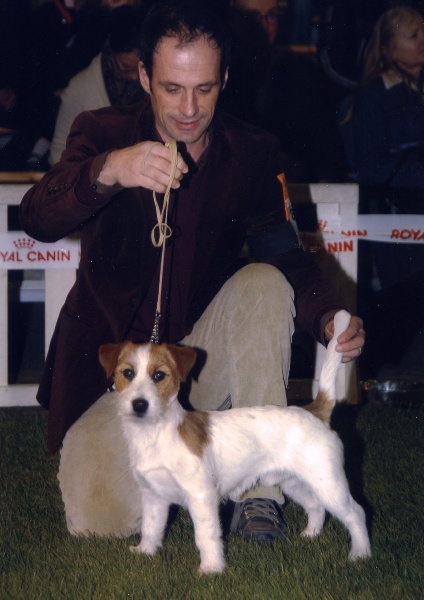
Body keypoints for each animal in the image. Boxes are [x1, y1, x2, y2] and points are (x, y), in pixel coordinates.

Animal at [99, 309, 371, 574]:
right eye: (128, 373)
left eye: (159, 375)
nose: (139, 404)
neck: (155, 434)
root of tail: (314, 411)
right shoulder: (153, 497)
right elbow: (151, 528)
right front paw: (145, 551)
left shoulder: (201, 497)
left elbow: (206, 536)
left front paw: (211, 568)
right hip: (293, 481)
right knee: (315, 506)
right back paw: (311, 534)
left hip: (329, 484)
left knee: (356, 512)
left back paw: (361, 554)